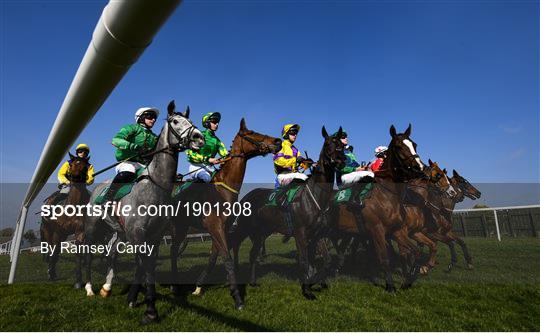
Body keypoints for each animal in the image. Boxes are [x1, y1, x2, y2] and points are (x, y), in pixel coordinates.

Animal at [40, 153, 90, 286]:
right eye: (71, 165)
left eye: (85, 166)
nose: (76, 178)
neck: (73, 207)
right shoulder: (58, 232)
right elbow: (55, 252)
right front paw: (50, 273)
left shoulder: (80, 232)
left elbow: (78, 254)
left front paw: (78, 280)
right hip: (48, 231)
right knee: (51, 249)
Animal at [83, 100, 204, 322]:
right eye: (175, 121)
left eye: (191, 121)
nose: (199, 138)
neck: (156, 186)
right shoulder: (138, 234)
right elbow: (145, 266)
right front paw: (150, 310)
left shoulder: (154, 236)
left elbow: (145, 266)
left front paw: (133, 298)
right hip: (92, 228)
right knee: (88, 255)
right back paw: (88, 288)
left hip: (120, 232)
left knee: (112, 254)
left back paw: (106, 287)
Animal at [171, 118, 282, 310]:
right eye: (251, 132)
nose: (277, 141)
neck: (222, 191)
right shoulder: (215, 227)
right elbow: (228, 259)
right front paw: (237, 298)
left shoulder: (220, 228)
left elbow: (214, 258)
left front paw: (198, 287)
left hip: (181, 227)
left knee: (172, 250)